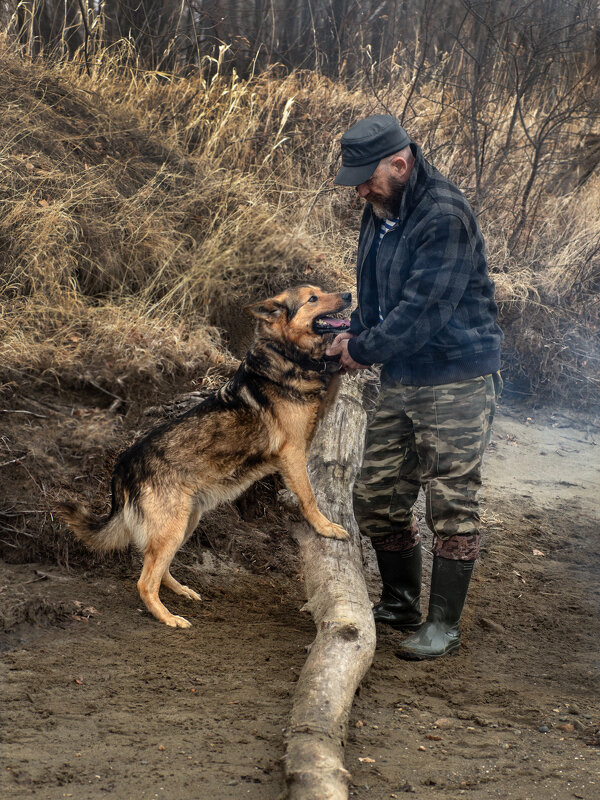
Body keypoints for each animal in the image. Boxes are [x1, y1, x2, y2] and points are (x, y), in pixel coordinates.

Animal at [57, 284, 352, 628]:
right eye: (313, 299)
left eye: (322, 291)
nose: (349, 295)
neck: (285, 353)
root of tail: (123, 465)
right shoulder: (292, 454)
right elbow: (309, 497)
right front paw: (326, 527)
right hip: (172, 527)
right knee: (144, 581)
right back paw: (168, 617)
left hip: (185, 522)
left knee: (157, 567)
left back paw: (181, 590)